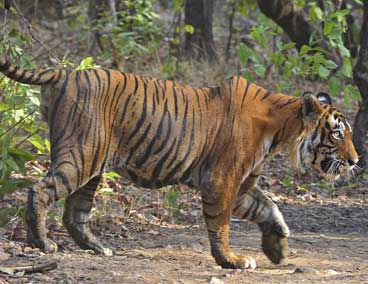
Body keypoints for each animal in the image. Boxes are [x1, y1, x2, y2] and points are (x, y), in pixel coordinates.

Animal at [0, 57, 356, 268]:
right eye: (337, 133)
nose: (355, 161)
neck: (282, 128)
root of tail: (66, 72)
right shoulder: (222, 180)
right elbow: (221, 223)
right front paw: (231, 260)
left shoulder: (243, 186)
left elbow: (269, 207)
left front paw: (277, 248)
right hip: (81, 155)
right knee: (40, 191)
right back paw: (43, 243)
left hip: (92, 166)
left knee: (75, 213)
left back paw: (99, 249)